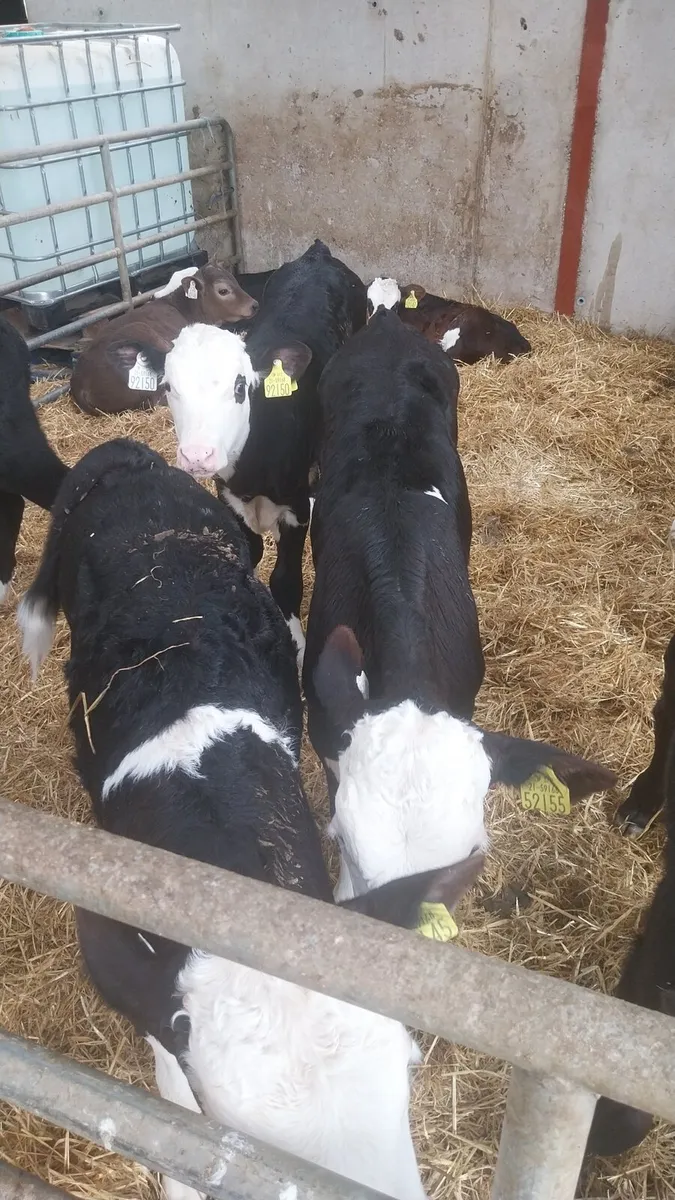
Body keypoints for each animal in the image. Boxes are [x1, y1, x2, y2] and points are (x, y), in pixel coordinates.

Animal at [143, 238, 367, 661]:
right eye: (168, 387)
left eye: (239, 386)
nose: (198, 455)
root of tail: (317, 254)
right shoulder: (229, 498)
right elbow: (251, 555)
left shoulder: (295, 507)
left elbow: (285, 580)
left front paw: (296, 644)